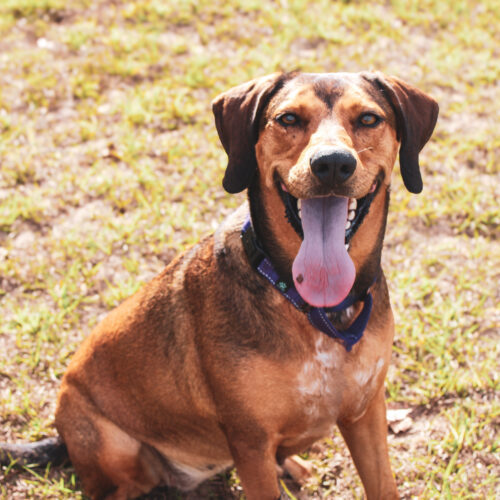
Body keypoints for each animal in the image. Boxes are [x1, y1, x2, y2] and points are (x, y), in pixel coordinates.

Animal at [0, 71, 438, 500]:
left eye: (368, 119)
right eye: (288, 119)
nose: (331, 163)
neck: (316, 309)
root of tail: (63, 437)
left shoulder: (366, 412)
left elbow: (384, 486)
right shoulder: (250, 442)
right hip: (115, 446)